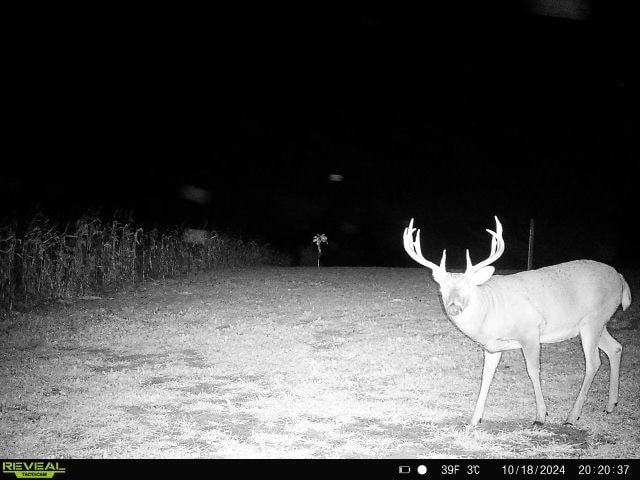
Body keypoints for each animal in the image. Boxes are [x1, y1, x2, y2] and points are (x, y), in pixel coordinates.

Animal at [403, 216, 631, 426]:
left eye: (469, 287)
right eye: (441, 287)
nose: (453, 307)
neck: (491, 310)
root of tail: (620, 277)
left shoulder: (531, 331)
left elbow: (533, 370)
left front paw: (541, 416)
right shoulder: (492, 346)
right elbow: (486, 376)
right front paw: (475, 419)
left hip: (592, 321)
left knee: (594, 362)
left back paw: (572, 416)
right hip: (596, 324)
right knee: (615, 348)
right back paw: (610, 405)